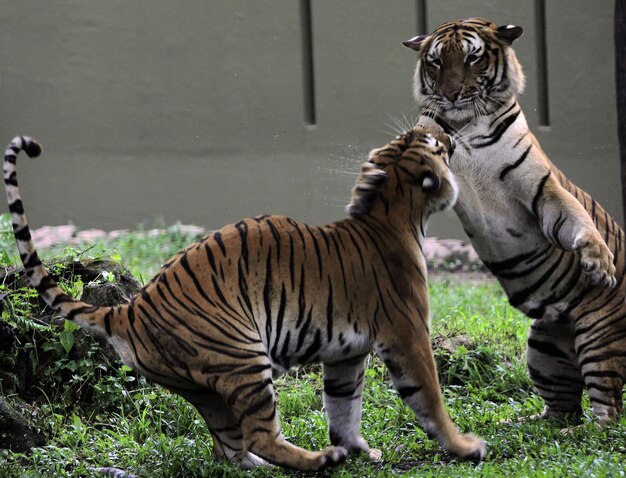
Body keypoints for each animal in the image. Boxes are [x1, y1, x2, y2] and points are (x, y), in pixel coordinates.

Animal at [2, 129, 486, 472]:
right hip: (246, 356)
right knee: (258, 435)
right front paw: (465, 447)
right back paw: (318, 460)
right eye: (428, 144)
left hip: (202, 386)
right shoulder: (408, 333)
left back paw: (269, 464)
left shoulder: (345, 355)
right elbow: (429, 396)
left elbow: (343, 406)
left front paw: (360, 450)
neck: (395, 213)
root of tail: (130, 308)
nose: (440, 129)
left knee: (228, 446)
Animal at [402, 16, 620, 424]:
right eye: (436, 61)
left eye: (472, 58)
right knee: (564, 407)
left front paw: (599, 263)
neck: (466, 124)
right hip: (543, 347)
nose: (452, 95)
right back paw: (526, 422)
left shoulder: (541, 188)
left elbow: (574, 216)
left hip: (600, 338)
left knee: (607, 414)